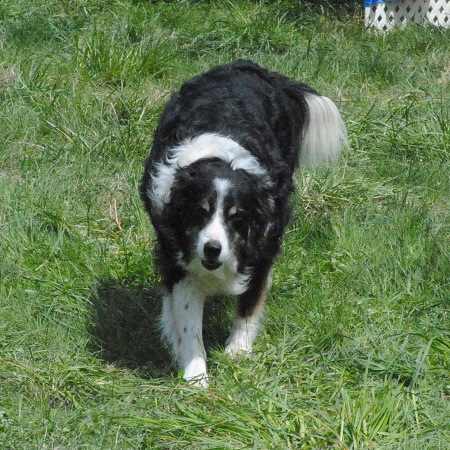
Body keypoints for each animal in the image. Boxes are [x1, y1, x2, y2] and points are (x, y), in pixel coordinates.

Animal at [141, 59, 348, 386]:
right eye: (200, 212)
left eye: (236, 217)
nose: (212, 249)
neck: (220, 160)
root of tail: (249, 66)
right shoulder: (178, 255)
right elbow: (188, 321)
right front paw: (196, 376)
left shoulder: (264, 245)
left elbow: (250, 302)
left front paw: (237, 353)